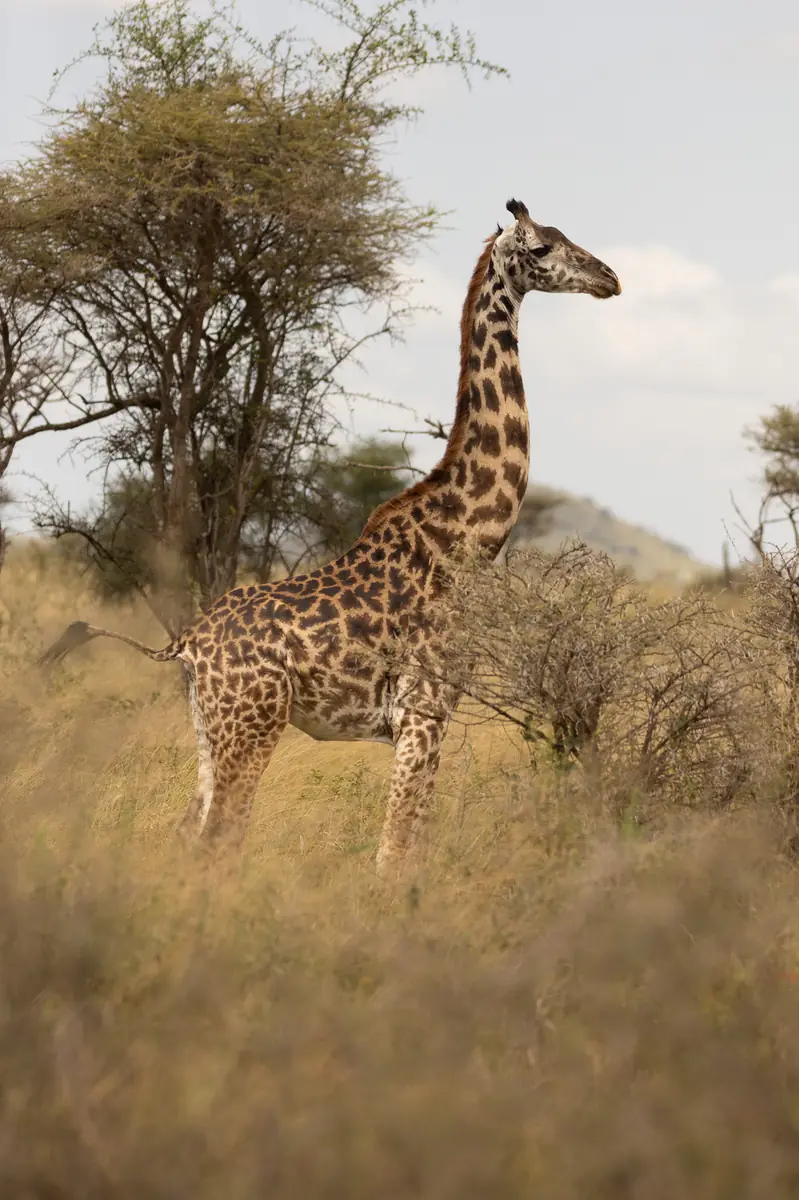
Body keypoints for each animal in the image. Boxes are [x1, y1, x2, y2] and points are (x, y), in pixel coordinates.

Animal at [40, 199, 621, 872]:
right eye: (544, 246)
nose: (610, 277)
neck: (465, 539)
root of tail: (187, 643)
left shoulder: (437, 717)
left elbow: (412, 852)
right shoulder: (421, 712)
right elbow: (392, 857)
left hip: (209, 728)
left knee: (189, 836)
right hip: (253, 724)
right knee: (219, 839)